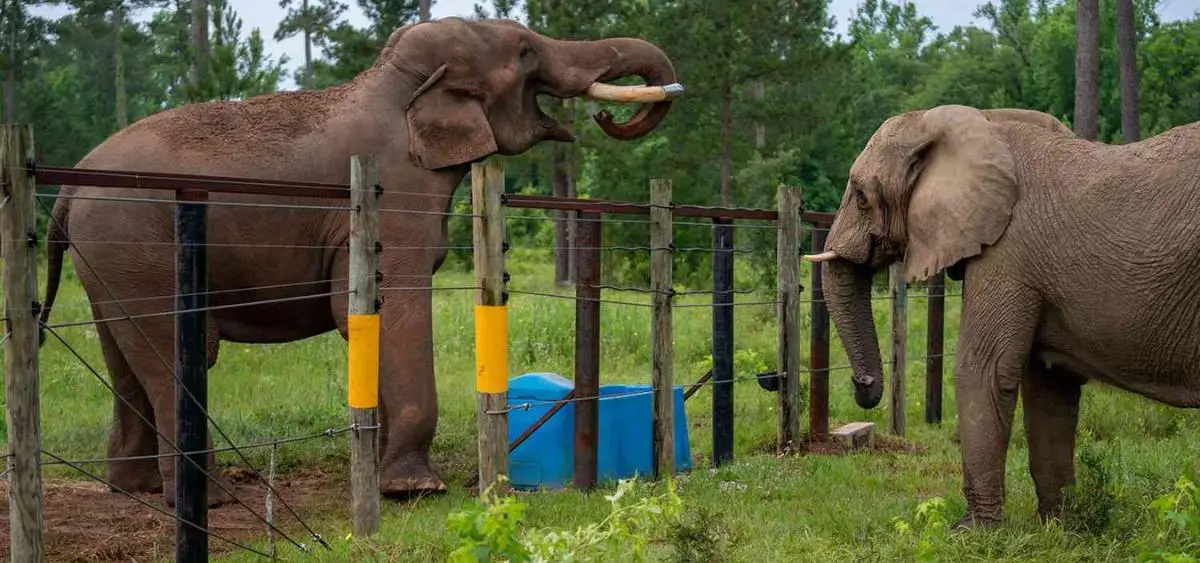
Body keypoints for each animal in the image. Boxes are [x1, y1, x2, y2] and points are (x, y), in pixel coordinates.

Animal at [37, 17, 678, 506]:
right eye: (524, 52)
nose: (603, 117)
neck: (397, 83)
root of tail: (70, 186)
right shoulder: (394, 192)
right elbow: (388, 309)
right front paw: (415, 489)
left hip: (112, 259)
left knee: (123, 352)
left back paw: (136, 490)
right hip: (137, 243)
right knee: (175, 348)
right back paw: (210, 500)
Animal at [803, 104, 1200, 528]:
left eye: (861, 195)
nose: (861, 384)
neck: (983, 121)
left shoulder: (1007, 252)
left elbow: (982, 369)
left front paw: (971, 531)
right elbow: (1050, 386)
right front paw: (1059, 527)